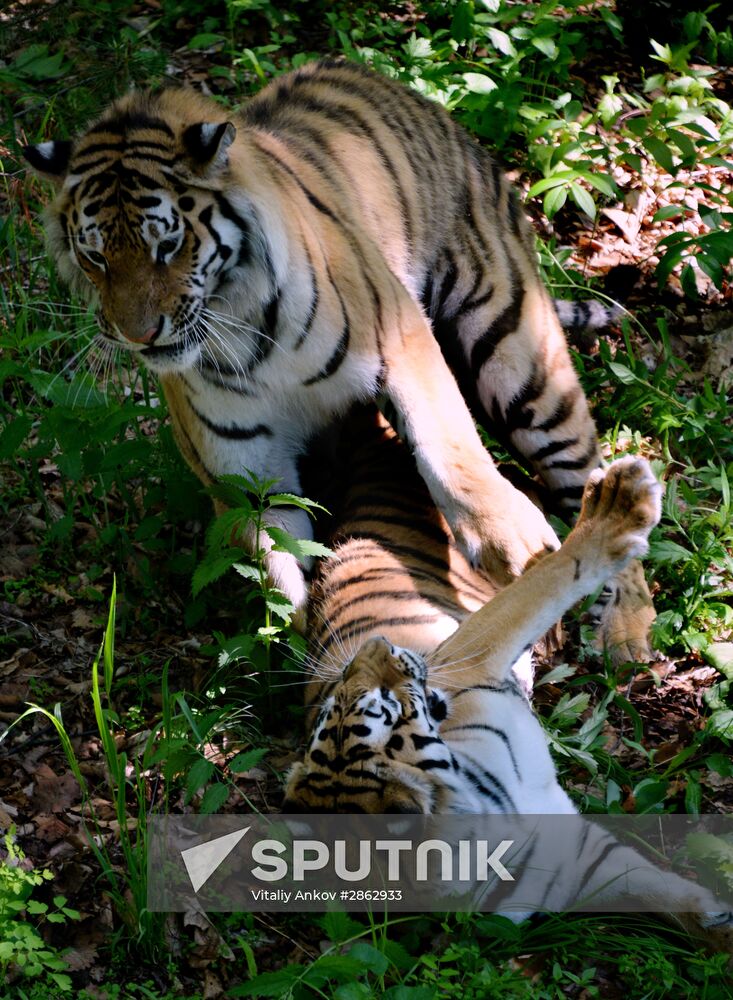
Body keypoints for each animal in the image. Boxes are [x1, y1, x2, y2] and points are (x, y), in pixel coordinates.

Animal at [22, 58, 652, 660]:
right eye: (95, 257)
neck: (243, 332)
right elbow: (282, 569)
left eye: (167, 245)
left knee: (598, 483)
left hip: (522, 364)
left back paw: (624, 633)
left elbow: (449, 448)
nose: (140, 336)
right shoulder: (249, 476)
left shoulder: (402, 337)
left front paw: (513, 543)